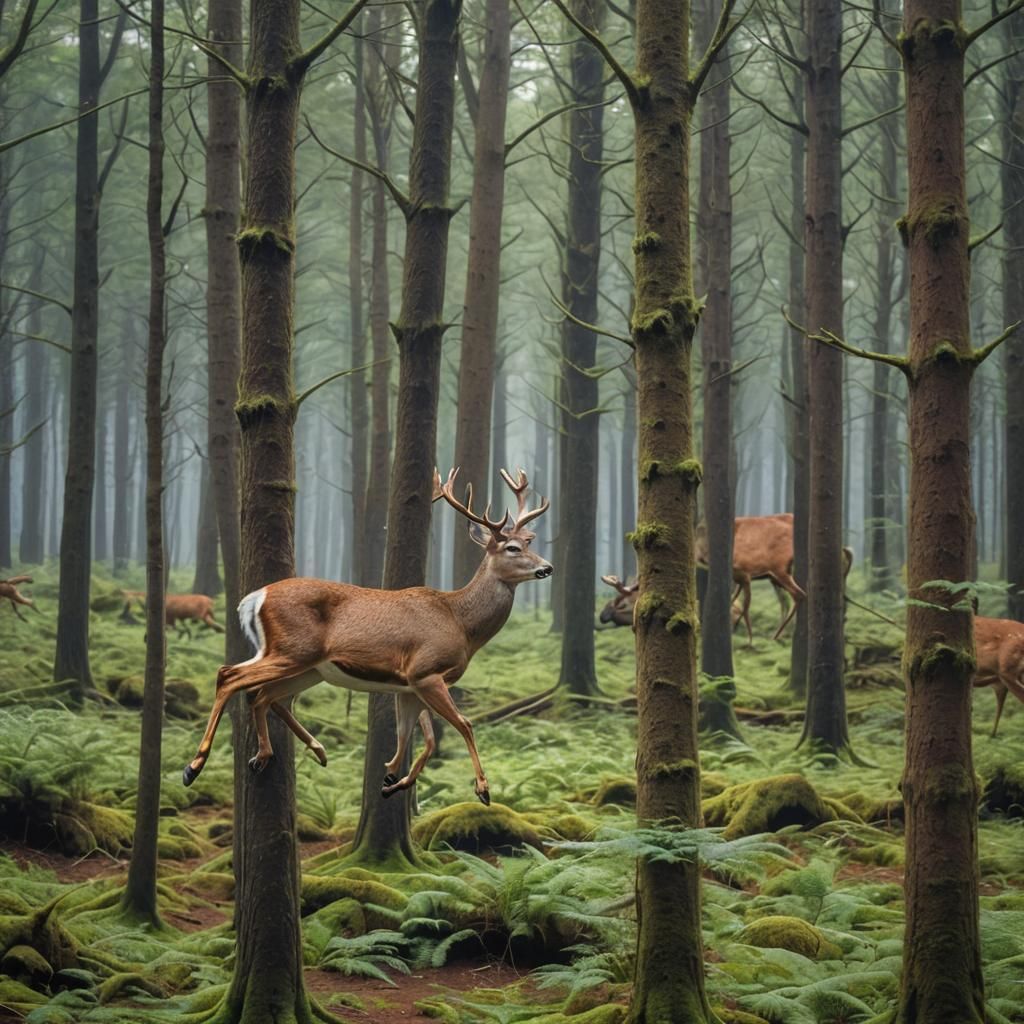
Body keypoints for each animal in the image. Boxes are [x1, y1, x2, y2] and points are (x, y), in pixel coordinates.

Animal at [182, 467, 552, 806]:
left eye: (530, 541)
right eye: (513, 548)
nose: (547, 568)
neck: (460, 622)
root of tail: (256, 597)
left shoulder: (410, 685)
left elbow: (419, 739)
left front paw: (391, 779)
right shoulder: (426, 670)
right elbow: (464, 724)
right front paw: (483, 789)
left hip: (308, 667)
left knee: (265, 696)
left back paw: (287, 753)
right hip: (293, 650)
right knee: (230, 676)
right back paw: (194, 765)